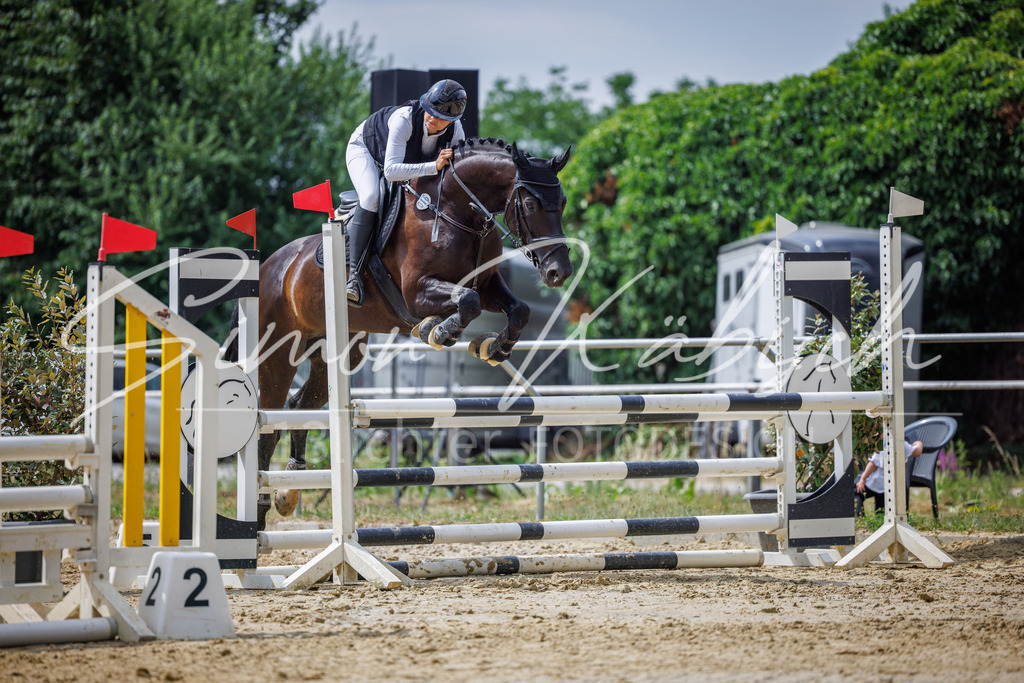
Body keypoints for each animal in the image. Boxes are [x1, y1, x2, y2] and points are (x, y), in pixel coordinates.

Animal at [252, 137, 574, 529]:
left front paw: (493, 348)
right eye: (529, 204)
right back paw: (260, 509)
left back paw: (289, 490)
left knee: (300, 406)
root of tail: (271, 266)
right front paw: (437, 331)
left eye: (562, 203)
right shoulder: (417, 292)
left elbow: (518, 310)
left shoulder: (488, 285)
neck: (457, 212)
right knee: (268, 424)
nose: (559, 271)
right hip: (276, 356)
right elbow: (466, 302)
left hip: (336, 354)